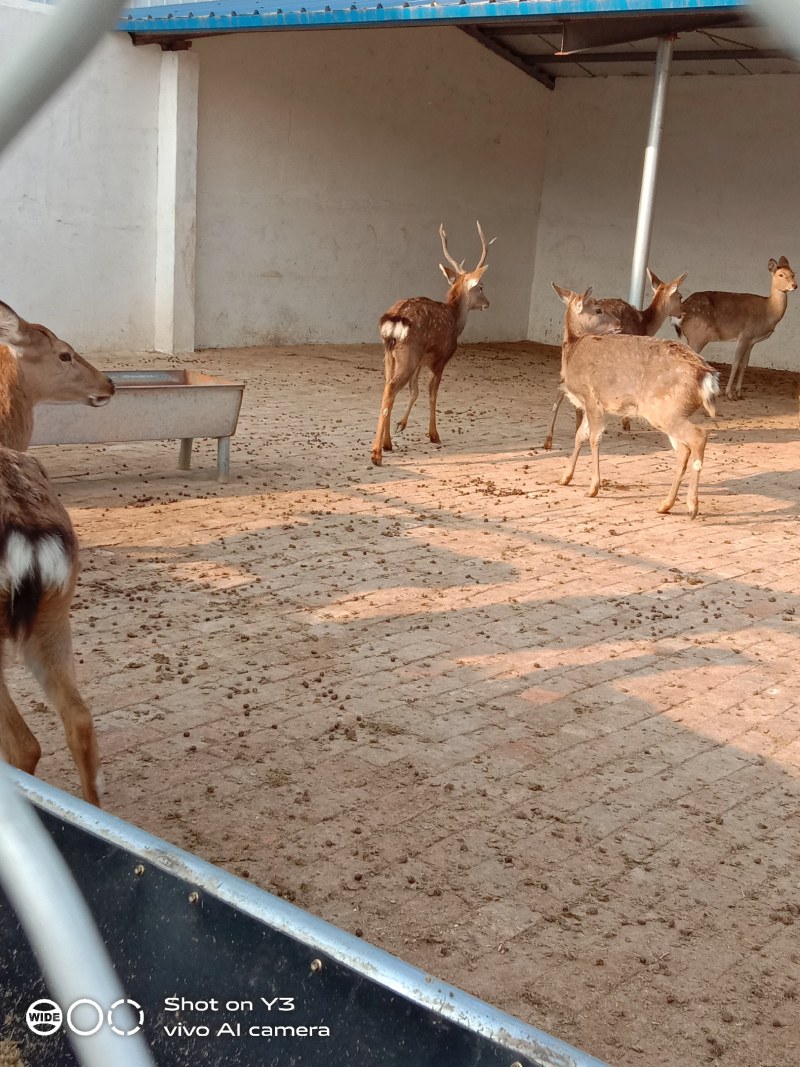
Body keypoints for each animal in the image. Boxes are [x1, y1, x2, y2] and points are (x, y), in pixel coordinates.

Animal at [370, 221, 494, 466]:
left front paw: (401, 425)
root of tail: (395, 319)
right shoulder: (441, 358)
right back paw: (376, 453)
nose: (488, 303)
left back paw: (386, 444)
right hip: (408, 353)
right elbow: (432, 392)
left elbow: (414, 391)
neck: (456, 321)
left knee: (388, 387)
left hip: (390, 354)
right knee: (391, 389)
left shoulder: (421, 361)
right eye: (481, 287)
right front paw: (434, 434)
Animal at [543, 269, 687, 450]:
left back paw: (550, 439)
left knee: (561, 388)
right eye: (680, 296)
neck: (646, 324)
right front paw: (626, 422)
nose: (683, 312)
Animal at [553, 283, 720, 519]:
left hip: (665, 411)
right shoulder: (589, 403)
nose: (618, 324)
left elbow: (594, 438)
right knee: (683, 450)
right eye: (598, 310)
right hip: (671, 412)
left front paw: (593, 487)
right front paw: (565, 478)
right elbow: (579, 436)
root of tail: (705, 375)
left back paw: (691, 506)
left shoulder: (591, 397)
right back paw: (665, 504)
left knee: (698, 437)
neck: (572, 350)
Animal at [676, 257, 797, 400]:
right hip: (698, 335)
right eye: (781, 275)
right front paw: (729, 393)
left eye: (793, 274)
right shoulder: (745, 334)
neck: (768, 312)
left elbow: (744, 363)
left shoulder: (752, 340)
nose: (794, 285)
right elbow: (735, 362)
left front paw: (739, 393)